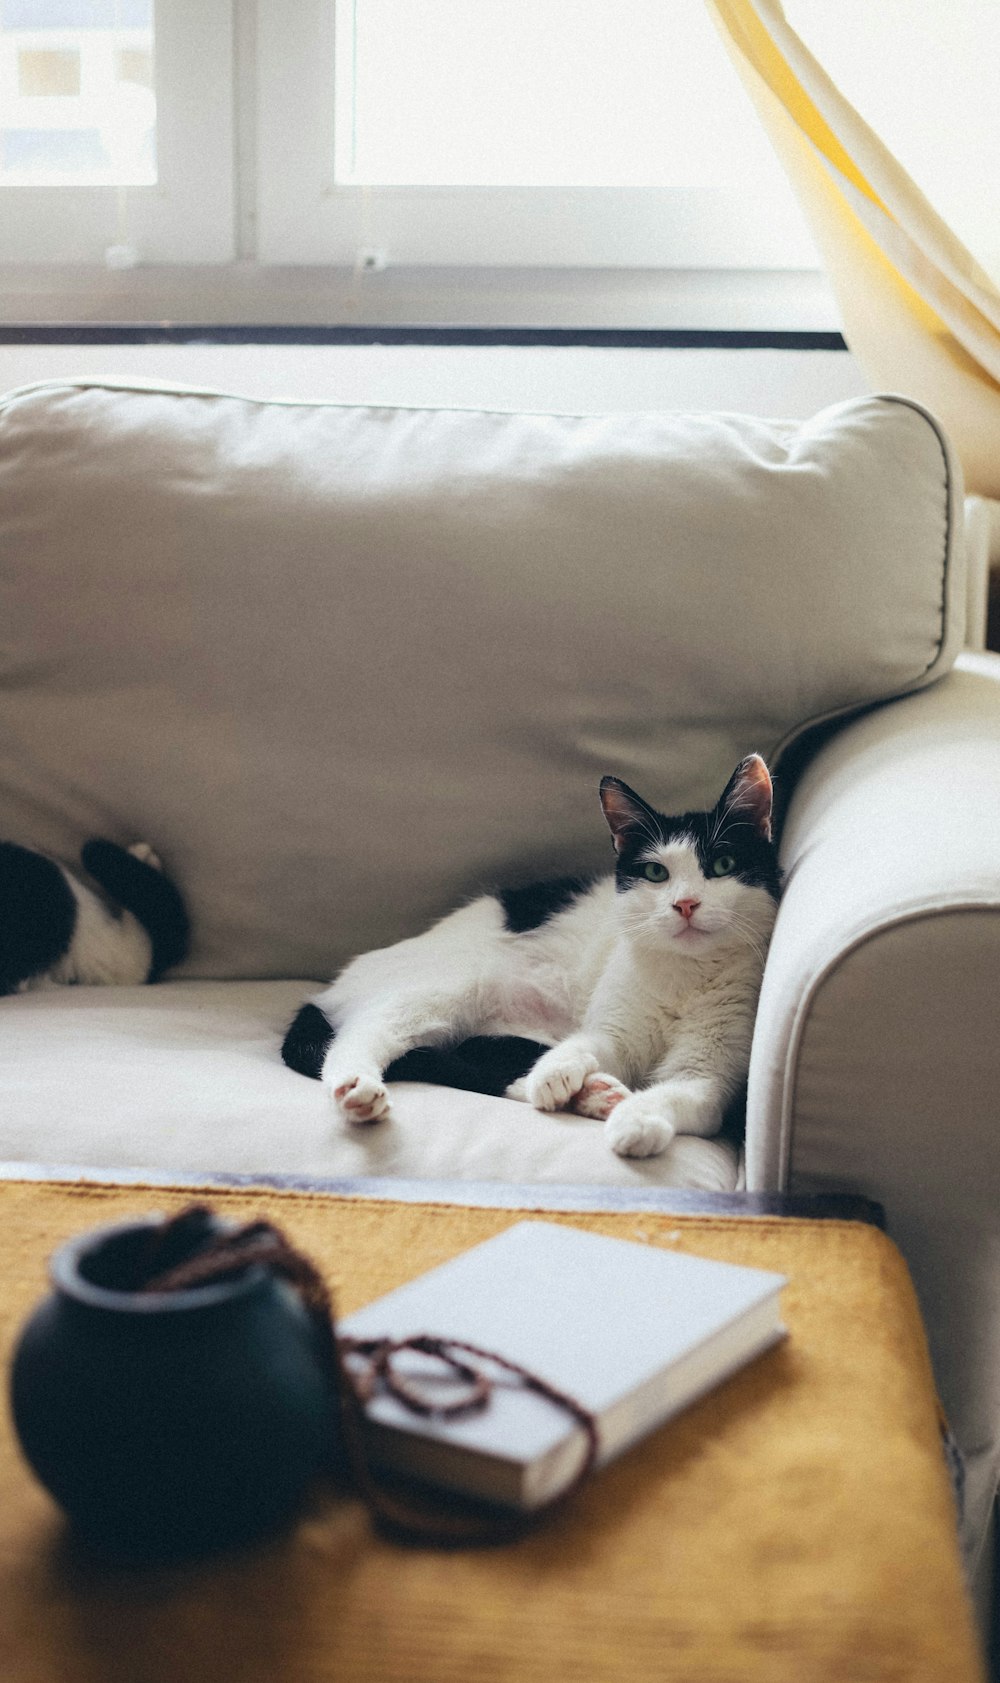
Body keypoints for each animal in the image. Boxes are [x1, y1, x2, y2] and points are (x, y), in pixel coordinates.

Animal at [279, 760, 777, 1157]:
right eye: (656, 873)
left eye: (723, 866)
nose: (686, 904)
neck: (684, 974)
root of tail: (337, 985)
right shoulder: (610, 1030)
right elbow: (583, 1046)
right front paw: (563, 1079)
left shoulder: (707, 1077)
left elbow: (680, 1093)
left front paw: (636, 1120)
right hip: (448, 985)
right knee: (360, 1036)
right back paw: (357, 1088)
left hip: (497, 1033)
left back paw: (598, 1097)